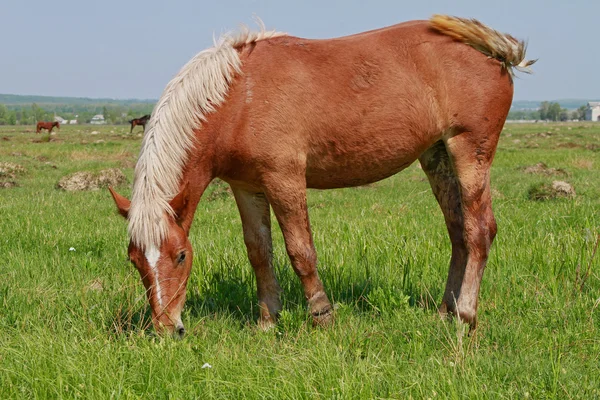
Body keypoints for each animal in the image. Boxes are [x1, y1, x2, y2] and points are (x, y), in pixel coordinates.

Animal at [110, 14, 536, 338]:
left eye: (180, 256)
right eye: (134, 260)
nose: (168, 329)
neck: (238, 96)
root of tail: (493, 51)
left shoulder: (284, 179)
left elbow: (300, 251)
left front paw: (322, 316)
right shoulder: (246, 187)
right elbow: (258, 252)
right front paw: (267, 321)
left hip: (470, 152)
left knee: (479, 231)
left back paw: (465, 316)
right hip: (438, 157)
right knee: (458, 232)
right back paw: (446, 311)